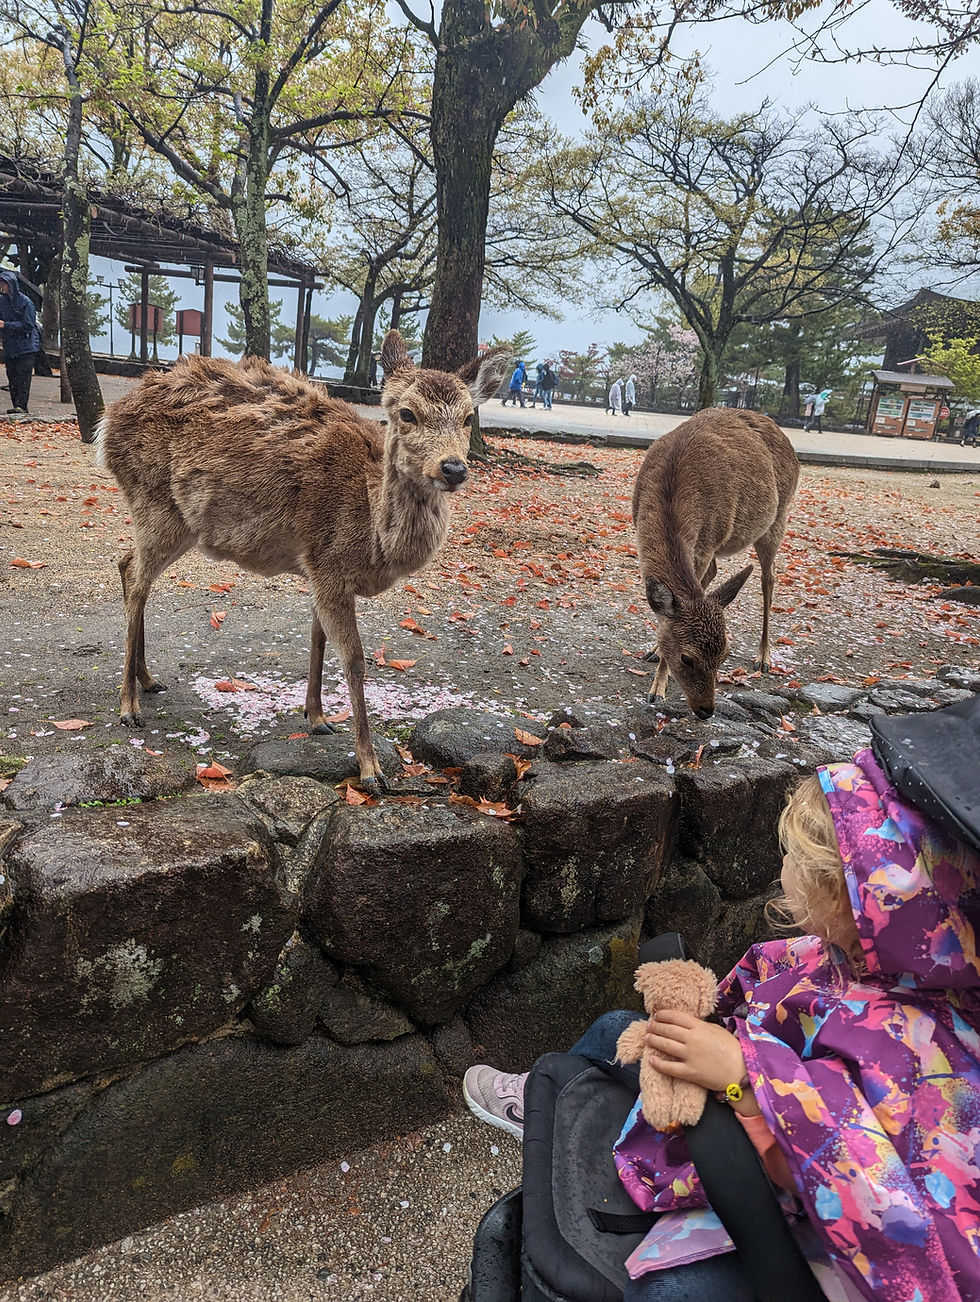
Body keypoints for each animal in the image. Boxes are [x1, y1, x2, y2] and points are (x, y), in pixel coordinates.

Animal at [94, 330, 511, 793]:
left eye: (469, 417)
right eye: (407, 413)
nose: (453, 468)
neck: (373, 538)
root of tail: (105, 424)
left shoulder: (317, 565)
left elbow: (318, 639)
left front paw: (317, 717)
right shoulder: (329, 563)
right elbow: (355, 659)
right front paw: (371, 769)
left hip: (175, 522)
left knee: (125, 563)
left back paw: (148, 679)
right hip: (154, 503)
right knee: (136, 578)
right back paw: (128, 706)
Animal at [632, 408, 800, 719]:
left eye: (724, 655)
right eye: (687, 658)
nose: (707, 710)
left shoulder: (708, 540)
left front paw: (657, 690)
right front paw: (656, 653)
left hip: (778, 518)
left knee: (768, 579)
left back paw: (764, 657)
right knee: (718, 573)